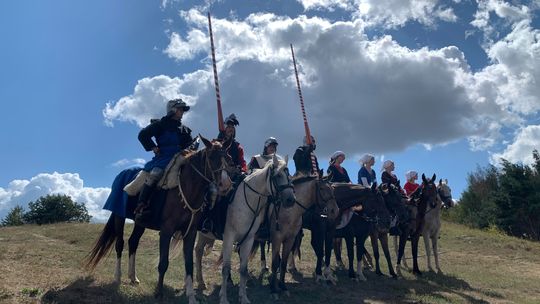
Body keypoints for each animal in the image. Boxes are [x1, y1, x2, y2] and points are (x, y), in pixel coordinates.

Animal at [85, 138, 233, 304]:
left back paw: (133, 277)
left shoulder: (190, 233)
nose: (225, 185)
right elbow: (163, 263)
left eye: (229, 158)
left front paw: (191, 296)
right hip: (119, 216)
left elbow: (189, 264)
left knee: (133, 242)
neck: (186, 188)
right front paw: (159, 292)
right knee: (120, 243)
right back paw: (118, 276)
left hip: (140, 223)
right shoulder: (166, 231)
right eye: (212, 157)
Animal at [218, 154, 296, 304]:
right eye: (278, 175)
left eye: (289, 176)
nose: (291, 200)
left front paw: (243, 297)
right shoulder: (228, 237)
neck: (246, 200)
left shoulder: (248, 239)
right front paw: (224, 298)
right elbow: (225, 269)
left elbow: (243, 269)